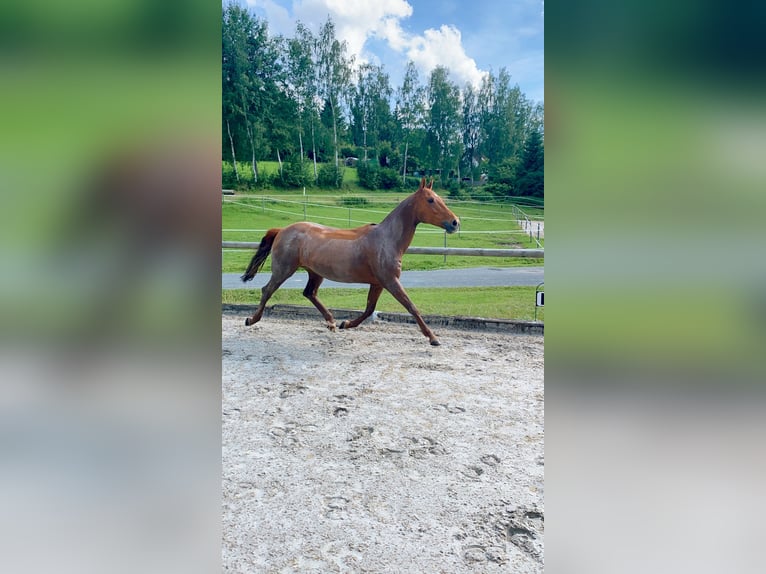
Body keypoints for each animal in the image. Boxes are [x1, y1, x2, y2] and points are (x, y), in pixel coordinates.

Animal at [241, 177, 460, 345]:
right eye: (431, 200)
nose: (455, 222)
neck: (387, 239)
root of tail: (282, 230)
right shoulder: (390, 281)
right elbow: (411, 306)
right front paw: (433, 338)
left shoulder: (378, 283)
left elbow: (369, 309)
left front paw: (345, 323)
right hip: (283, 269)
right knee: (267, 290)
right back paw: (251, 320)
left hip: (315, 272)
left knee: (309, 293)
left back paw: (331, 322)